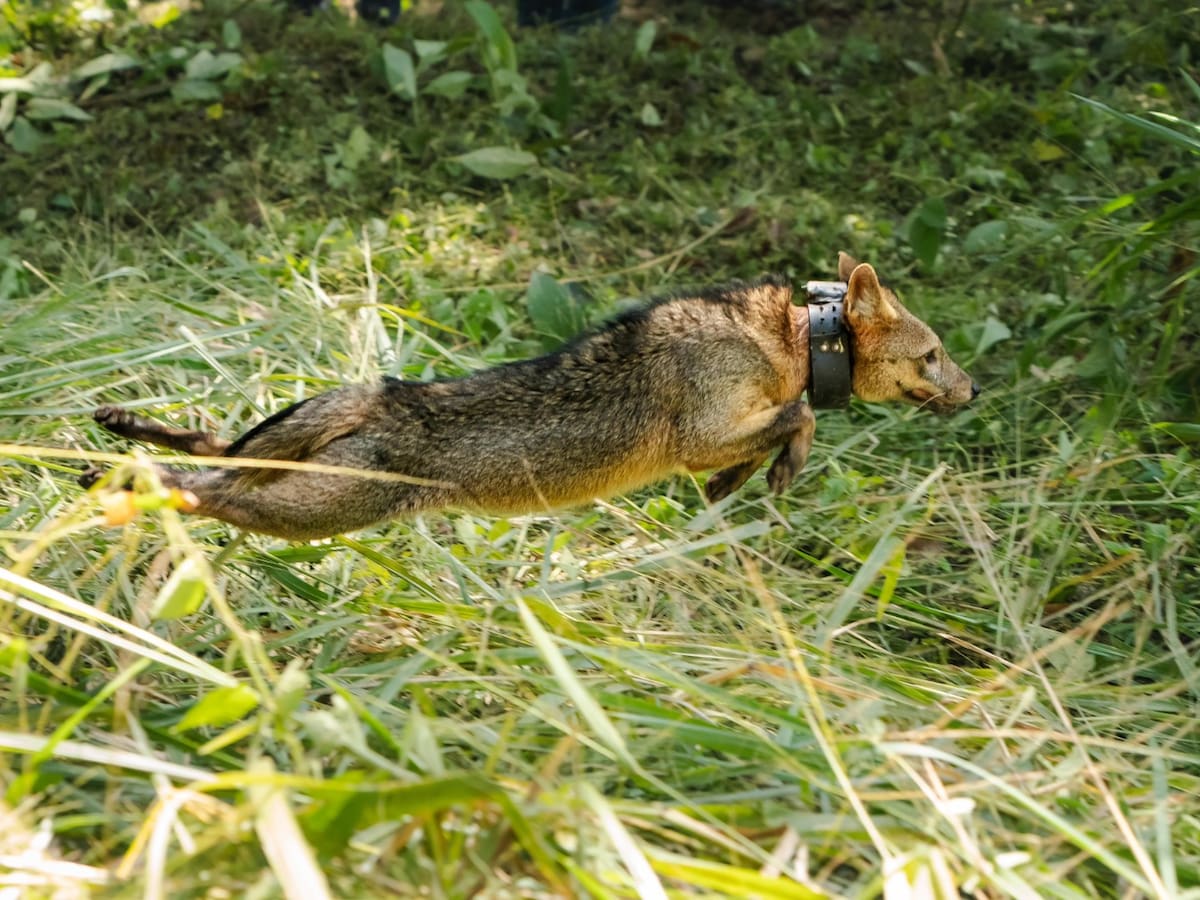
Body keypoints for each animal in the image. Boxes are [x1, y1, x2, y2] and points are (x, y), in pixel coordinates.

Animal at [80, 252, 979, 540]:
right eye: (935, 355)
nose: (975, 391)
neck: (785, 342)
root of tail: (383, 392)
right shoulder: (699, 432)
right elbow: (800, 418)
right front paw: (779, 465)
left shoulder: (710, 442)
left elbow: (771, 438)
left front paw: (741, 482)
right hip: (320, 512)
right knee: (204, 486)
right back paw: (128, 484)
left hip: (295, 484)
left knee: (212, 451)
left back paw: (128, 445)